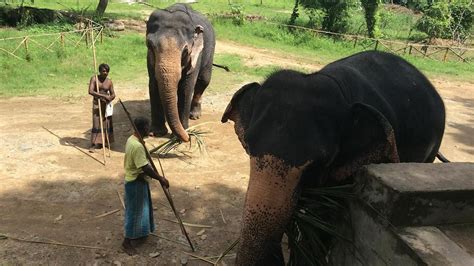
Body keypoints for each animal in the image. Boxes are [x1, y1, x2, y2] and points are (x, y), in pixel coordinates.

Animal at [146, 3, 217, 141]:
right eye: (149, 45)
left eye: (185, 50)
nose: (189, 137)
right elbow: (153, 85)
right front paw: (157, 133)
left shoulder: (195, 55)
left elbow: (186, 87)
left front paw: (181, 134)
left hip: (210, 50)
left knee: (204, 80)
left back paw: (194, 115)